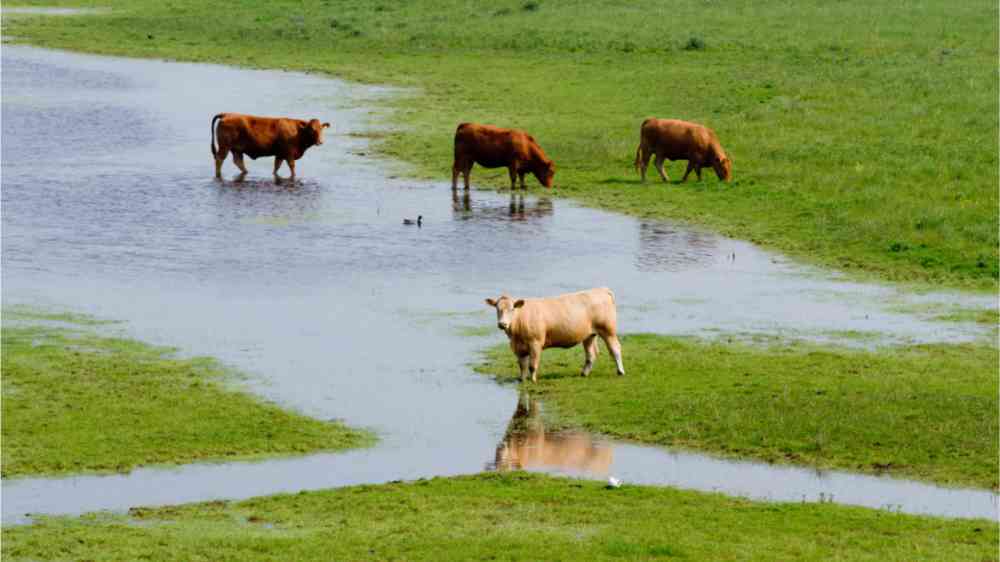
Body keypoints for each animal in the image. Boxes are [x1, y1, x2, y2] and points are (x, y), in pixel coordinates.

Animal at [484, 286, 624, 382]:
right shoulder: (517, 347)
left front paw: (533, 381)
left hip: (608, 330)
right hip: (589, 335)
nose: (502, 324)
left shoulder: (535, 343)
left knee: (615, 349)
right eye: (497, 309)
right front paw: (522, 380)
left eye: (512, 309)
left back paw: (620, 371)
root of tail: (601, 289)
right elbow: (522, 365)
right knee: (591, 354)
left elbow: (532, 365)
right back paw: (584, 373)